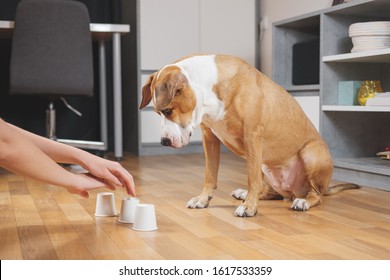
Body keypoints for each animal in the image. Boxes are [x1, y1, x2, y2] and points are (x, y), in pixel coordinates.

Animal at [139, 54, 358, 217]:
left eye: (167, 111)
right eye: (158, 113)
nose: (164, 141)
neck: (211, 88)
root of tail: (294, 191)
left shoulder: (252, 137)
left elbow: (251, 178)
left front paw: (249, 207)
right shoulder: (209, 138)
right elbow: (210, 174)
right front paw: (203, 199)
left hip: (311, 154)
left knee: (316, 195)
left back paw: (302, 201)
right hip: (266, 165)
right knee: (269, 192)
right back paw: (244, 193)